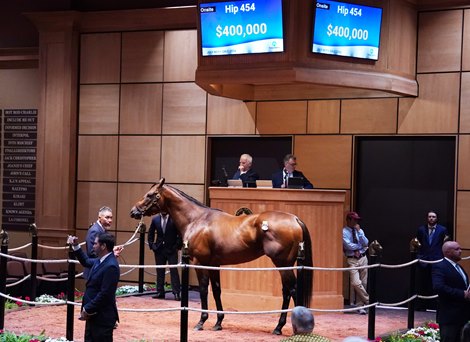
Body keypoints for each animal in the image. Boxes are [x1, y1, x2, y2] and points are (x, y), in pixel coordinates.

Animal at [129, 178, 312, 336]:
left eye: (150, 194)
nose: (134, 211)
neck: (197, 220)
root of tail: (294, 219)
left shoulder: (199, 263)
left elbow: (204, 290)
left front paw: (201, 322)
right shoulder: (214, 265)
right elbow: (216, 290)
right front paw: (218, 323)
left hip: (283, 263)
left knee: (292, 289)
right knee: (287, 291)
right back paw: (280, 327)